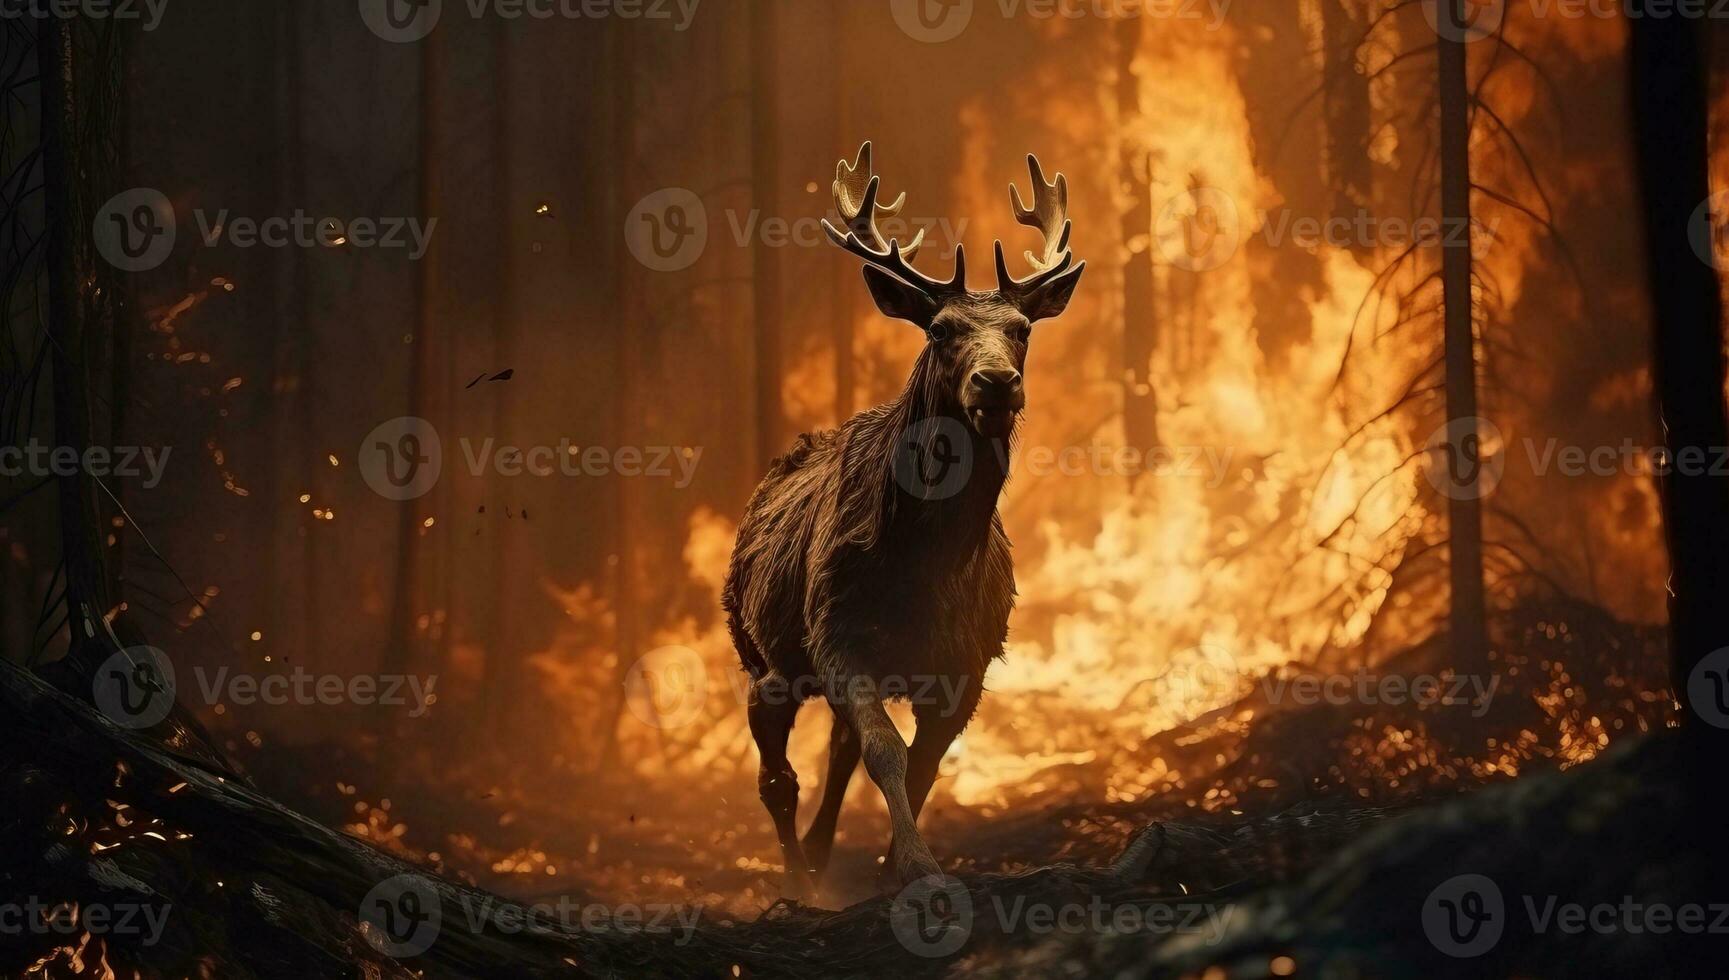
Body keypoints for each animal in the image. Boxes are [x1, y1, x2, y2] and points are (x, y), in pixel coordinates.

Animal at [722, 143, 1085, 898]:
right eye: (941, 330)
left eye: (1021, 330)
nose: (996, 382)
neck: (926, 567)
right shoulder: (839, 639)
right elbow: (886, 753)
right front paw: (915, 866)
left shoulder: (965, 668)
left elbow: (920, 767)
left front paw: (896, 866)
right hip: (761, 655)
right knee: (777, 775)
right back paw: (798, 877)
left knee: (834, 751)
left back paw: (819, 851)